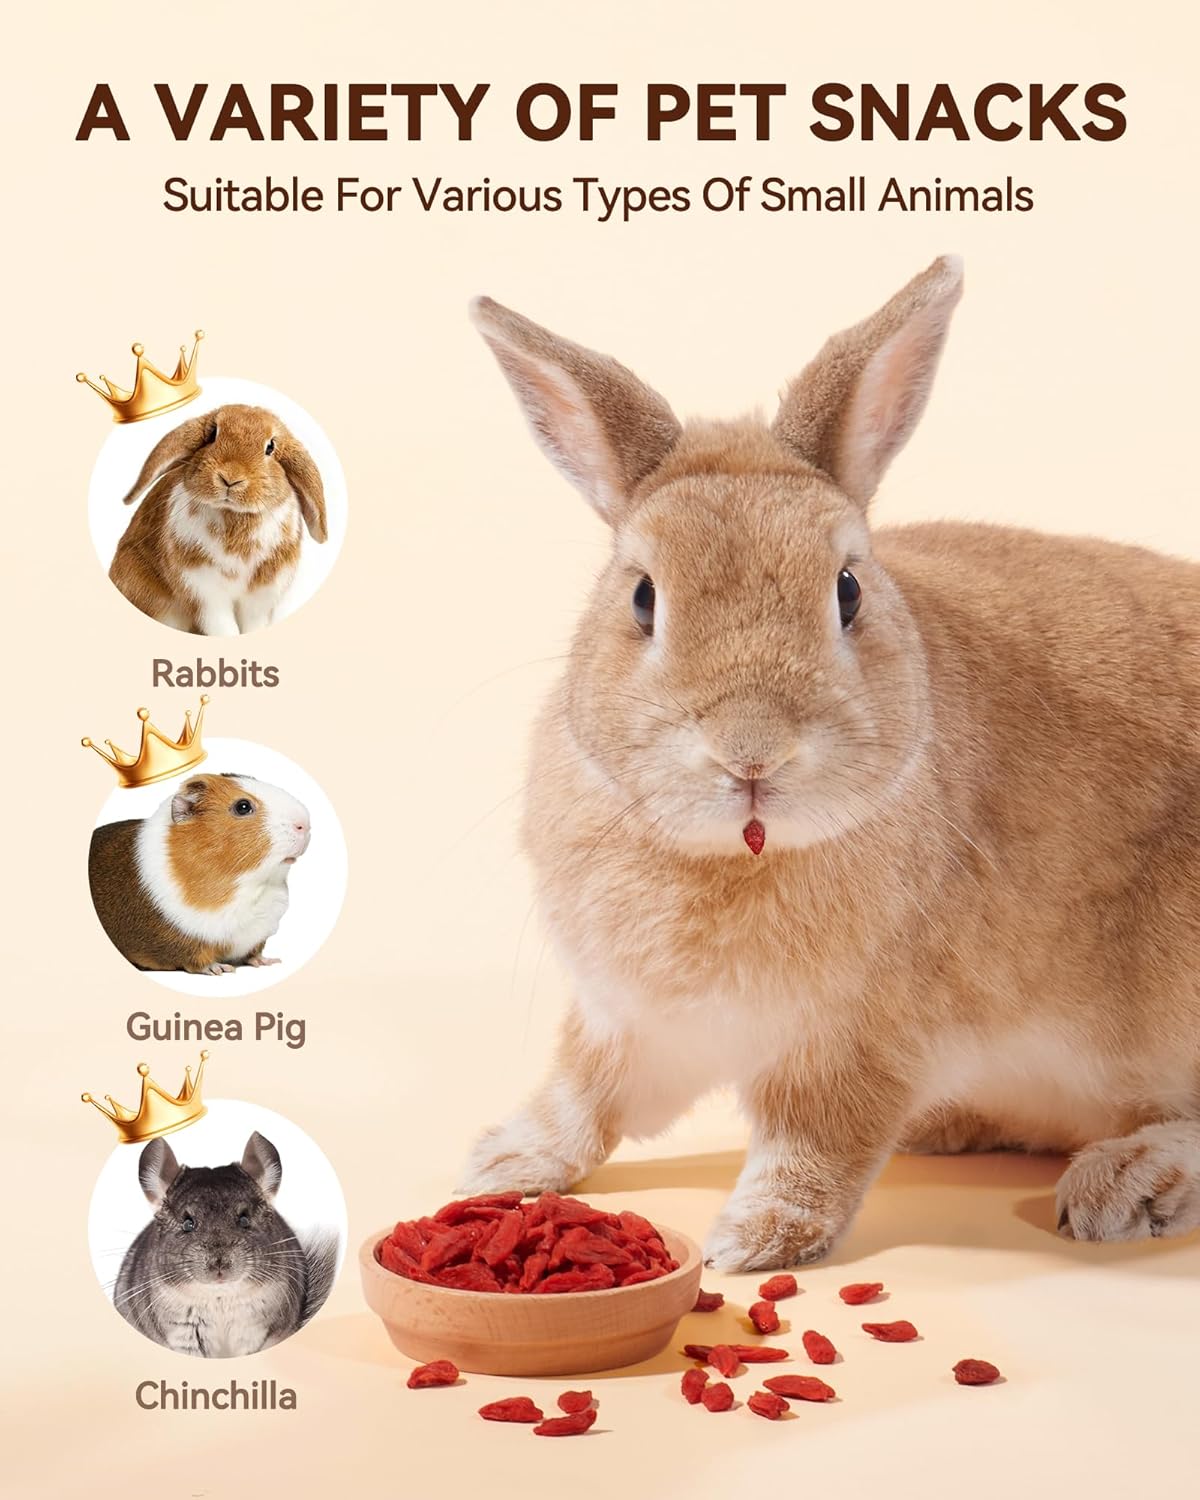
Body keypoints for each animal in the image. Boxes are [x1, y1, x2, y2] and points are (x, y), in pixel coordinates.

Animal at [88, 772, 310, 974]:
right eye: (243, 807)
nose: (305, 824)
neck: (254, 885)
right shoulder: (186, 942)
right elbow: (198, 960)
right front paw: (221, 969)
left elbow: (252, 952)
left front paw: (268, 962)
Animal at [109, 403, 327, 635]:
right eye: (213, 434)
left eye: (270, 447)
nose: (230, 478)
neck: (233, 515)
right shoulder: (203, 593)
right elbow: (223, 627)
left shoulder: (262, 596)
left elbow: (253, 624)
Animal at [114, 1131, 338, 1357]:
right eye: (187, 1223)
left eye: (244, 1219)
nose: (219, 1264)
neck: (219, 1296)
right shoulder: (184, 1335)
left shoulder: (255, 1330)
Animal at [458, 255, 1200, 1271]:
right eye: (643, 597)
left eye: (847, 590)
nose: (751, 752)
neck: (739, 855)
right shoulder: (625, 1024)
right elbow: (580, 1098)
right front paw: (499, 1164)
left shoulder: (858, 1046)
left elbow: (816, 1143)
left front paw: (756, 1239)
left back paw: (1127, 1183)